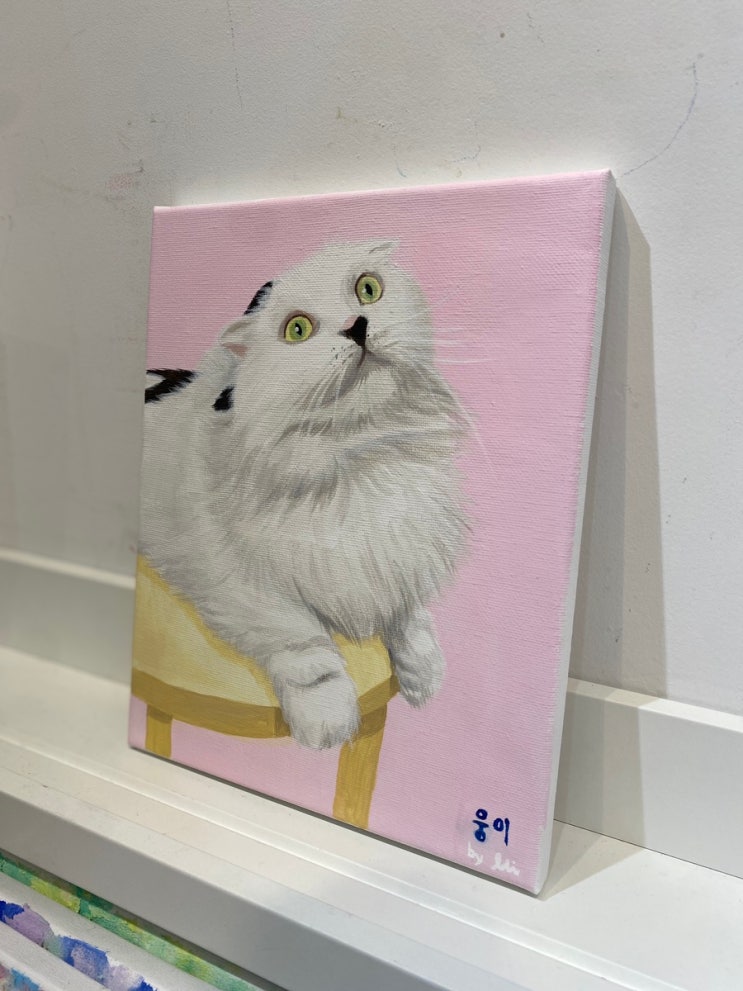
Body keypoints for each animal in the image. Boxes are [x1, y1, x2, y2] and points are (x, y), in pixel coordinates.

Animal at [140, 240, 468, 749]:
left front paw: (422, 670)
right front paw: (328, 718)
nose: (358, 324)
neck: (357, 456)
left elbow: (408, 611)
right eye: (297, 330)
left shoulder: (397, 554)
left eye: (367, 289)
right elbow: (306, 644)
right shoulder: (239, 583)